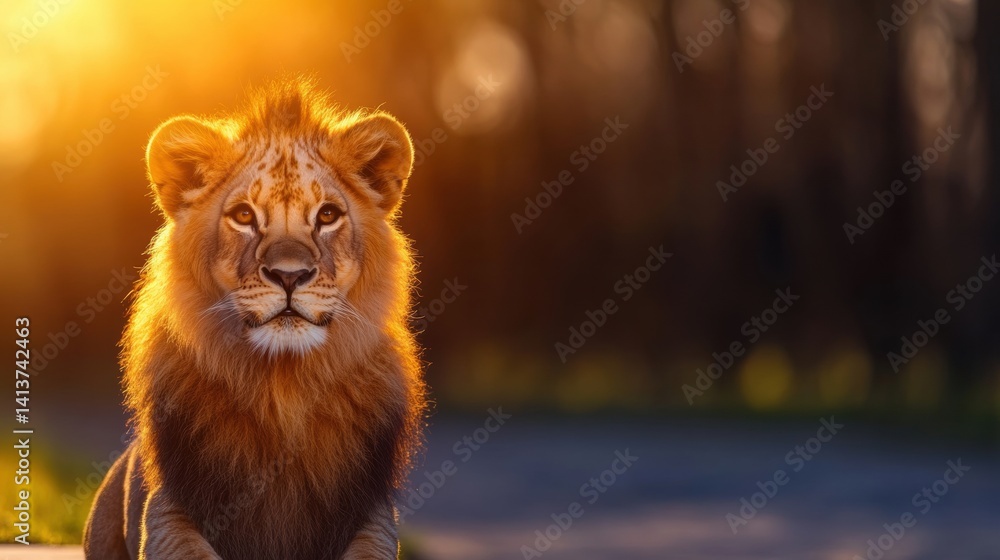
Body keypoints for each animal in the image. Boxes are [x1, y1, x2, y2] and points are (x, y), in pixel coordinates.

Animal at [83, 78, 426, 560]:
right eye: (244, 215)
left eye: (327, 215)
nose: (289, 275)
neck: (282, 389)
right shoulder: (169, 514)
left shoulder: (372, 519)